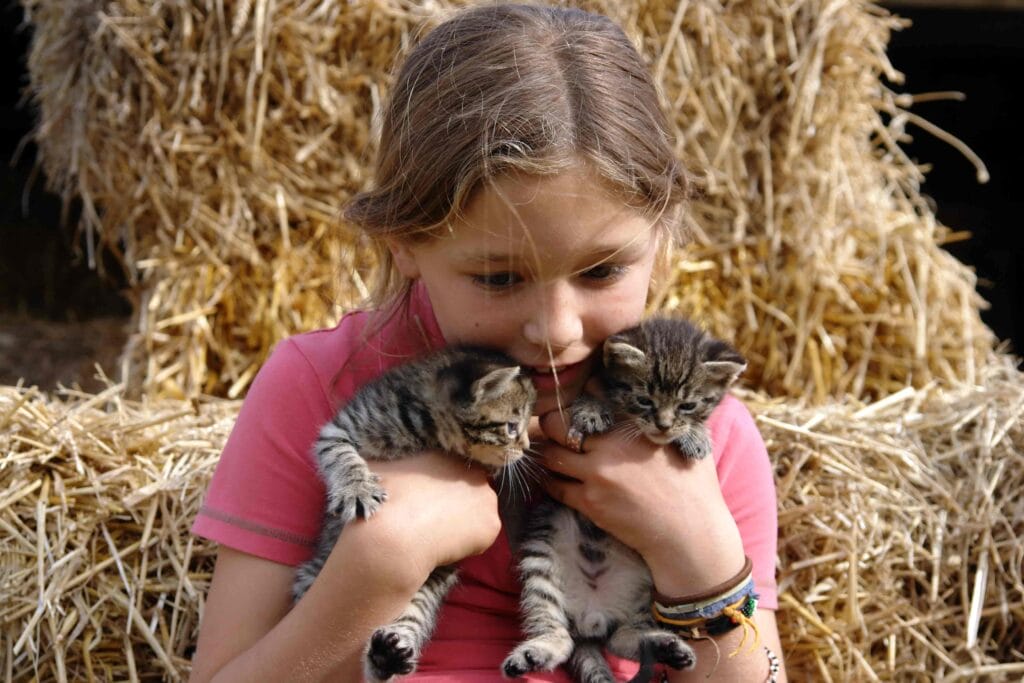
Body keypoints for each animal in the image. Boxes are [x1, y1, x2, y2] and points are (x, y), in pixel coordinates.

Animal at [292, 348, 536, 683]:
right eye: (512, 427)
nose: (526, 447)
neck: (425, 426)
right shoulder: (339, 429)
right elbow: (339, 454)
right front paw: (357, 488)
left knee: (411, 615)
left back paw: (387, 655)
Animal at [501, 317, 745, 683]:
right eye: (643, 400)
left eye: (688, 405)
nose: (663, 425)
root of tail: (591, 619)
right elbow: (585, 397)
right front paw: (591, 410)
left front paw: (696, 435)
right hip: (540, 561)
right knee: (558, 630)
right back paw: (535, 652)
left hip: (646, 594)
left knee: (622, 638)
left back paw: (664, 646)